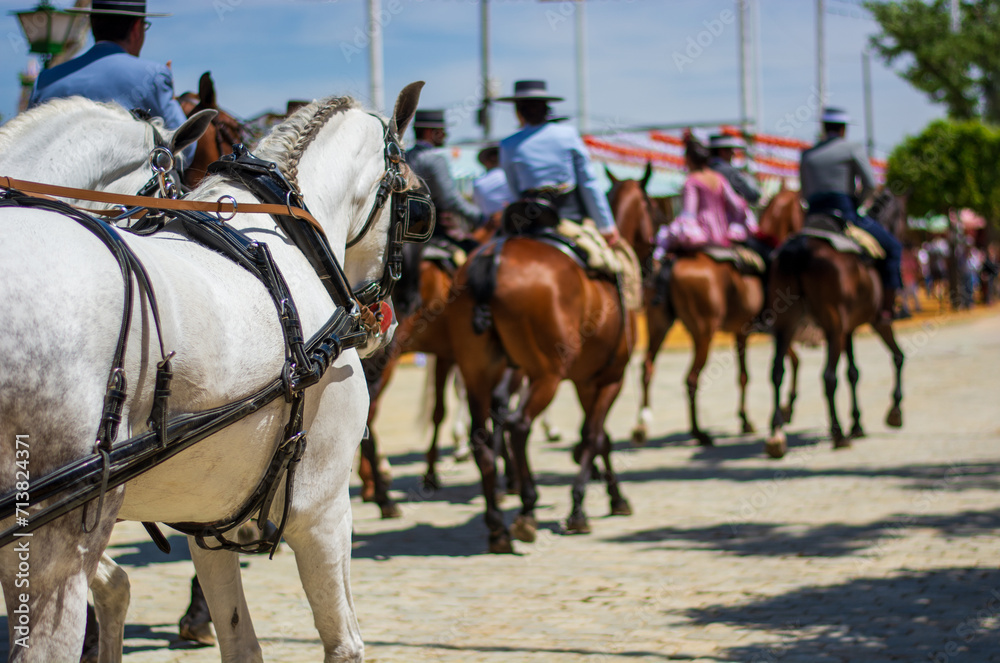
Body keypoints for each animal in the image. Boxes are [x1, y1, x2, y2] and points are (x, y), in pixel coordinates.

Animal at [0, 84, 424, 663]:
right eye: (416, 205)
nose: (387, 321)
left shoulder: (209, 514)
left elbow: (239, 641)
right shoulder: (322, 510)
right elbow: (344, 644)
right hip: (55, 538)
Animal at [452, 220, 636, 552]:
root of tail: (493, 257)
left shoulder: (586, 382)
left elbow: (600, 436)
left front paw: (614, 497)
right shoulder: (611, 378)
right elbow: (594, 435)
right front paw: (579, 509)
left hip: (477, 375)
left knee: (481, 440)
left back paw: (497, 528)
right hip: (547, 376)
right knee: (519, 425)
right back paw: (526, 509)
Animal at [632, 183, 804, 446]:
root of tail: (672, 260)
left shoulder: (742, 333)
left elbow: (744, 375)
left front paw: (746, 420)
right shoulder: (776, 328)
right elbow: (793, 362)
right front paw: (787, 409)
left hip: (658, 325)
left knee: (647, 367)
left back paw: (642, 426)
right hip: (703, 333)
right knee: (691, 379)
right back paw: (699, 432)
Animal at [764, 187, 908, 456]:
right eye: (903, 216)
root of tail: (801, 249)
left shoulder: (848, 329)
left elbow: (853, 372)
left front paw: (858, 423)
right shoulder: (876, 322)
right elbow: (898, 357)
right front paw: (894, 411)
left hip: (786, 324)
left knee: (777, 371)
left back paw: (776, 434)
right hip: (833, 327)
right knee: (828, 377)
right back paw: (838, 433)